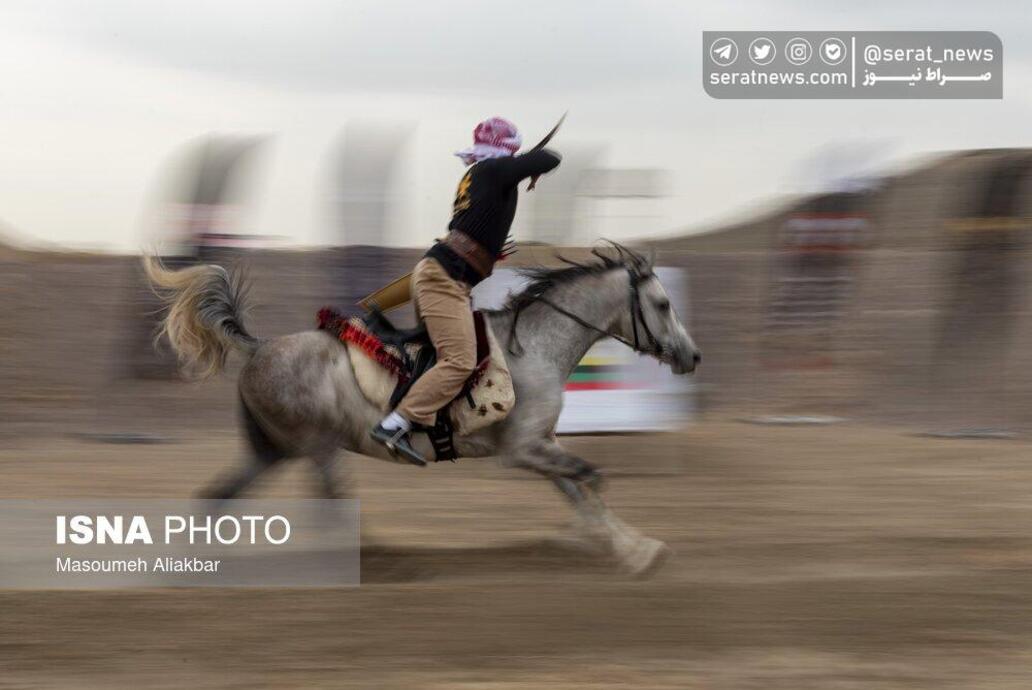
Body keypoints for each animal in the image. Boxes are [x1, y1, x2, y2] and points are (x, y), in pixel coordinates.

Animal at [144, 245, 700, 575]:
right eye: (663, 304)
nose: (692, 356)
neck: (534, 347)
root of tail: (259, 347)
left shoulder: (540, 447)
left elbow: (578, 490)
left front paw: (615, 543)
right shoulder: (523, 451)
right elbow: (592, 478)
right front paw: (630, 551)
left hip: (271, 451)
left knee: (216, 498)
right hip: (316, 446)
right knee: (327, 507)